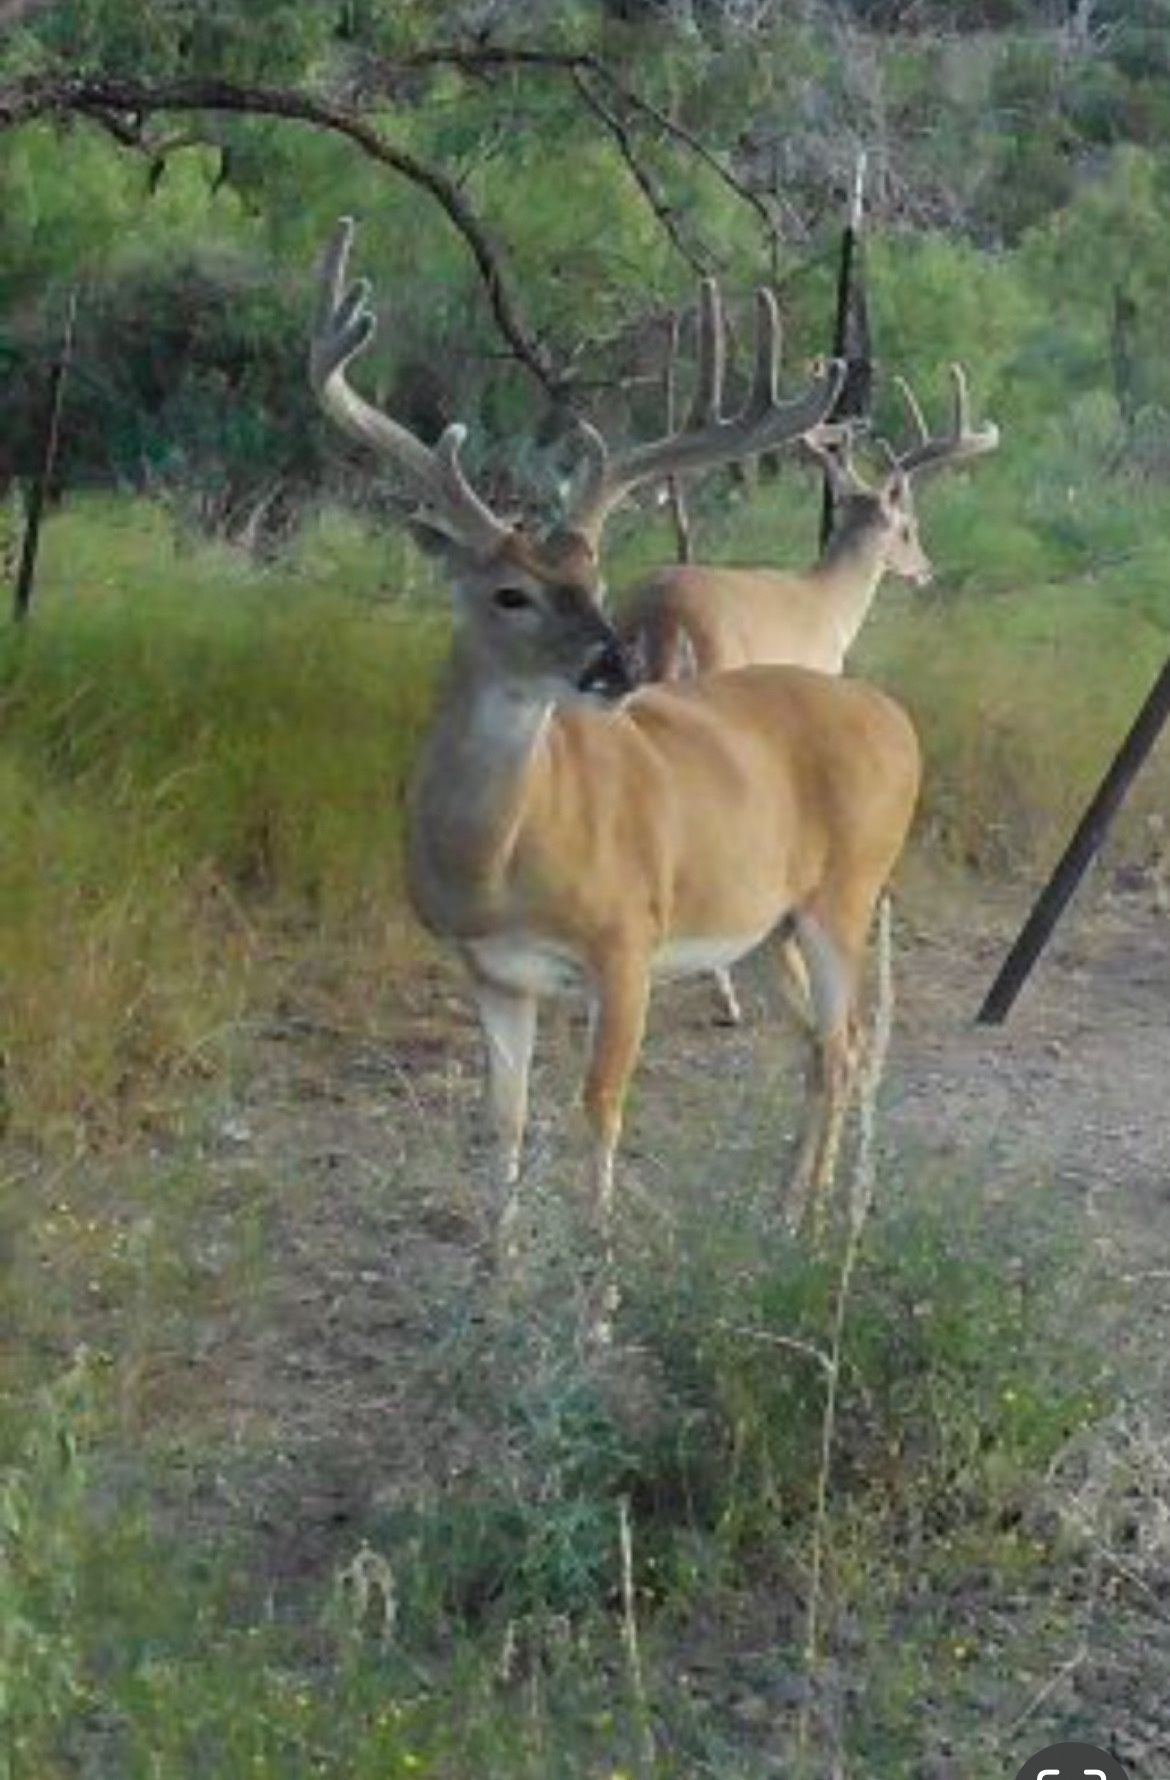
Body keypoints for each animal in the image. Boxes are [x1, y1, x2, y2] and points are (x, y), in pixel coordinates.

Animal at [310, 219, 921, 1319]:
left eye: (593, 575)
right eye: (509, 592)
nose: (615, 665)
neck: (500, 859)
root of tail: (896, 719)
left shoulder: (627, 940)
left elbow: (599, 1110)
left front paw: (596, 1302)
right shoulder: (490, 970)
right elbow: (505, 1118)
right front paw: (498, 1282)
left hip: (847, 891)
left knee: (848, 1043)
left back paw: (824, 1234)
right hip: (767, 923)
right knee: (820, 1047)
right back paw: (789, 1216)